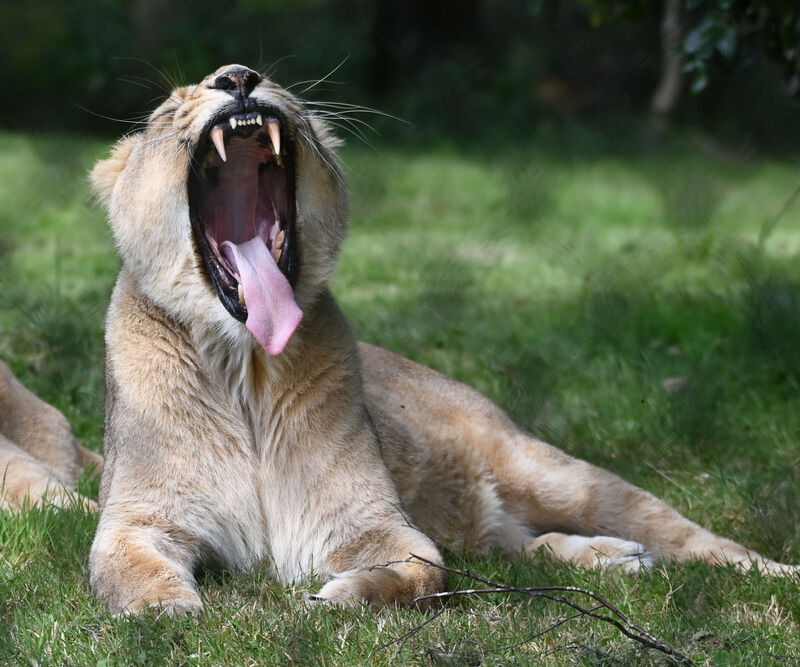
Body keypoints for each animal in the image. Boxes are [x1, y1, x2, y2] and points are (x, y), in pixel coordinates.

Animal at [87, 64, 797, 616]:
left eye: (272, 81)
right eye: (167, 108)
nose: (238, 78)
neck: (247, 368)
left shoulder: (372, 523)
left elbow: (422, 572)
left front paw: (340, 595)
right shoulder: (134, 521)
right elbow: (125, 569)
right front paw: (166, 609)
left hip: (554, 473)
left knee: (695, 539)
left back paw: (748, 571)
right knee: (523, 546)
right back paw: (613, 559)